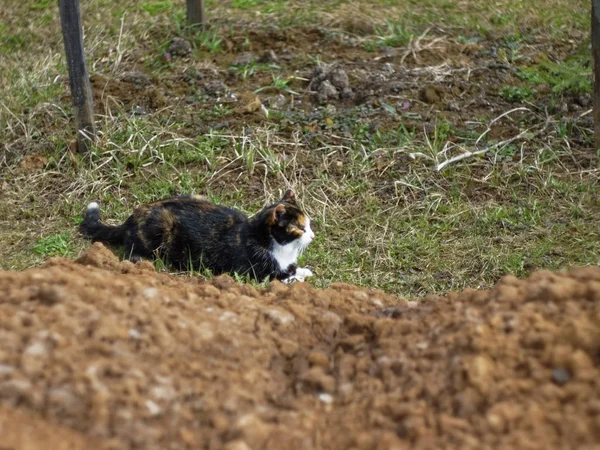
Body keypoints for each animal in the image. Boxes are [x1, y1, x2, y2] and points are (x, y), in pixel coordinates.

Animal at [79, 192, 316, 284]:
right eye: (300, 228)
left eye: (309, 224)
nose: (313, 235)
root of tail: (131, 218)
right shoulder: (254, 273)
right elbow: (282, 277)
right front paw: (299, 277)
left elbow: (292, 269)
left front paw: (304, 270)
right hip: (159, 226)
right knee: (132, 250)